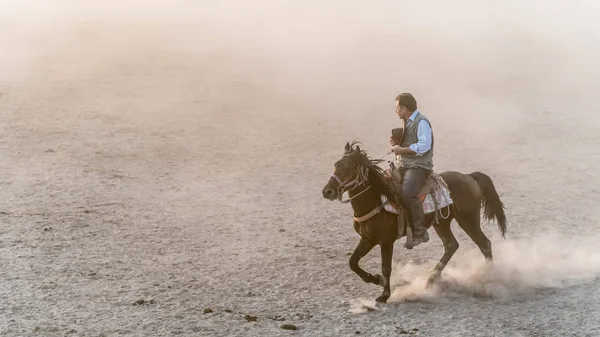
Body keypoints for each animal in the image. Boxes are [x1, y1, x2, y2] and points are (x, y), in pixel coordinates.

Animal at [318, 140, 506, 304]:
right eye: (336, 164)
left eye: (349, 168)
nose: (327, 191)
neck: (378, 200)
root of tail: (469, 177)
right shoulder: (368, 239)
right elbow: (353, 262)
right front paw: (375, 279)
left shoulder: (386, 242)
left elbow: (386, 267)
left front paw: (384, 295)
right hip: (442, 223)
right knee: (451, 245)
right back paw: (431, 280)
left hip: (468, 220)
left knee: (484, 244)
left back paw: (488, 279)